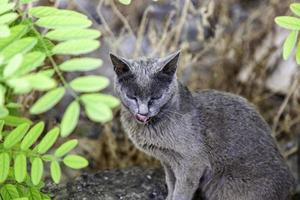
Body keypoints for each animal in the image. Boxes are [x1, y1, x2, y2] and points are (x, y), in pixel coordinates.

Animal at [109, 51, 294, 200]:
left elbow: (182, 190)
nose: (143, 112)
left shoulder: (192, 162)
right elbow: (171, 183)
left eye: (156, 97)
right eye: (131, 97)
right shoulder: (167, 160)